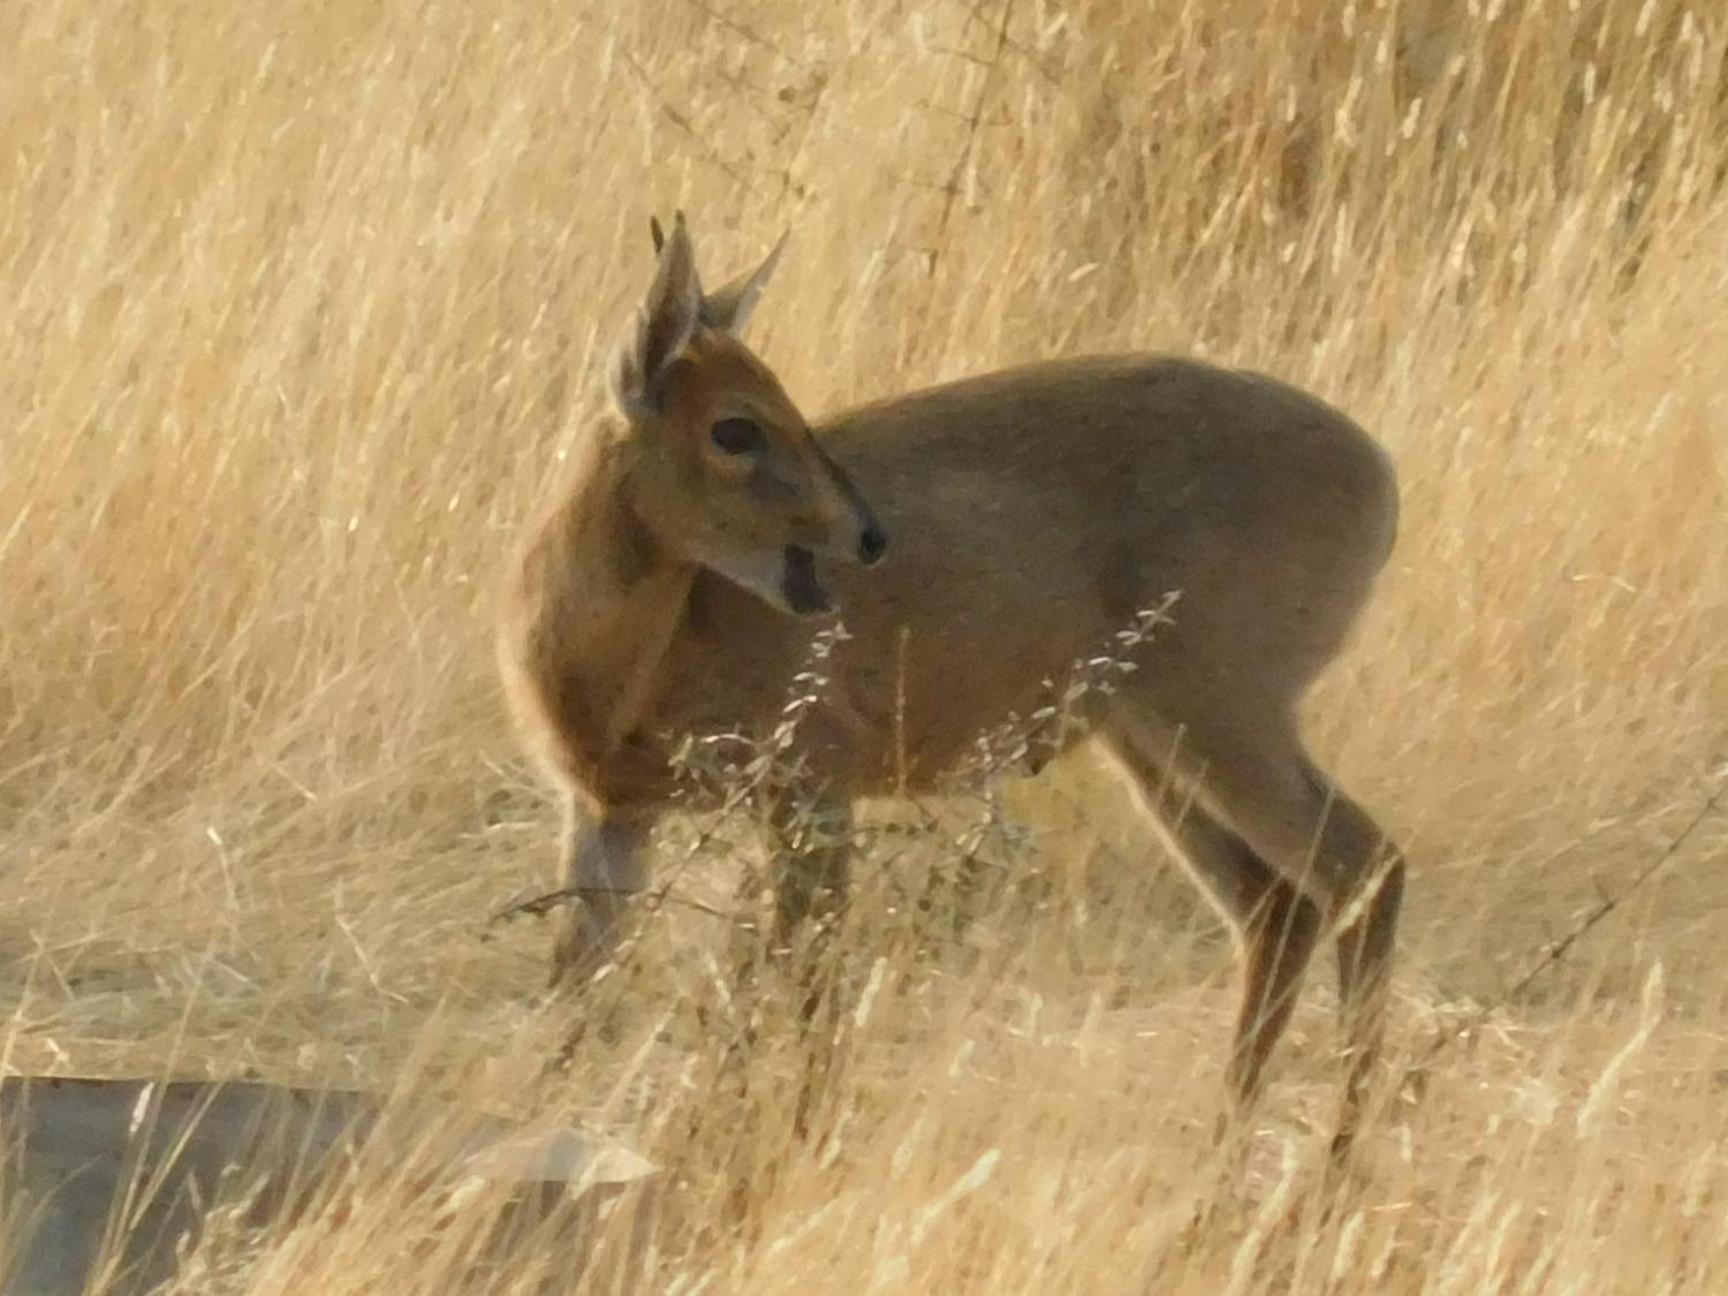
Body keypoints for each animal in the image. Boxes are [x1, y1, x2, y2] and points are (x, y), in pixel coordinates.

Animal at [497, 216, 1403, 1154]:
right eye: (735, 427)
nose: (866, 534)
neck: (619, 668)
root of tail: (1379, 473)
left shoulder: (811, 786)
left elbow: (809, 988)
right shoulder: (608, 812)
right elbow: (576, 988)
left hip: (1224, 712)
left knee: (1365, 865)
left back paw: (1334, 1162)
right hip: (1153, 742)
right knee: (1278, 906)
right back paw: (1227, 1143)